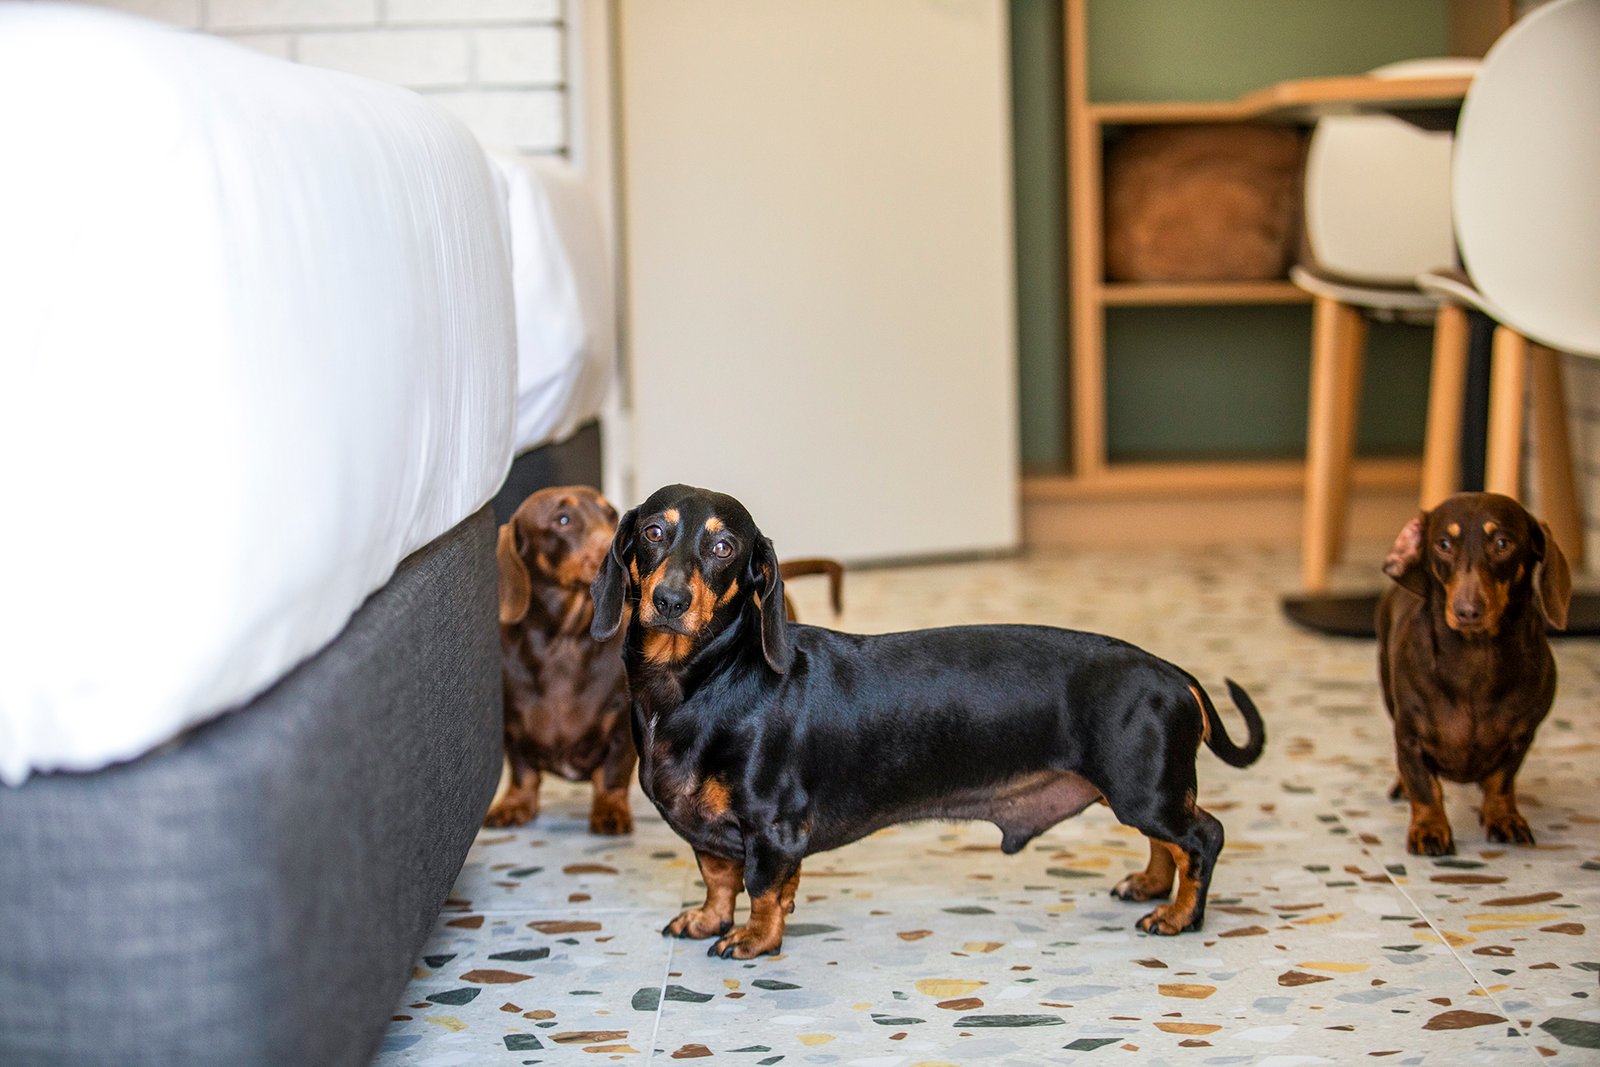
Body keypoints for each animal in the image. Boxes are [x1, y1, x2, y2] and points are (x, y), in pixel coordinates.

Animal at [590, 484, 1266, 958]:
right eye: (653, 531)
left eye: (724, 547)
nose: (669, 601)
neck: (703, 683)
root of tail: (1172, 673)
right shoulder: (712, 833)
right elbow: (717, 878)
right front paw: (706, 919)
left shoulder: (772, 828)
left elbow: (761, 890)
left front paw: (753, 940)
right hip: (1137, 791)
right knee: (1167, 843)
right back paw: (1150, 886)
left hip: (1142, 789)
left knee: (1201, 837)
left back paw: (1179, 916)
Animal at [1376, 491, 1572, 856]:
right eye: (1443, 544)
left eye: (1502, 542)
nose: (1468, 611)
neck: (1474, 660)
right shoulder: (1409, 737)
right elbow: (1425, 787)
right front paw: (1429, 829)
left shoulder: (1521, 738)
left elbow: (1500, 782)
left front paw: (1503, 818)